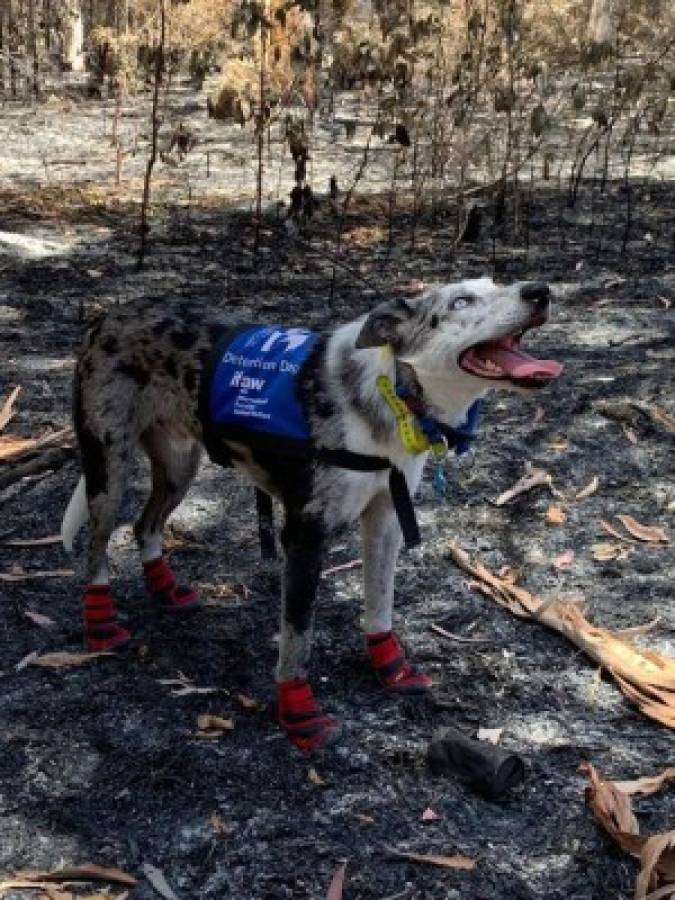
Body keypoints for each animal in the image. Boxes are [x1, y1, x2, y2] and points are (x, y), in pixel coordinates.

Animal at [63, 276, 564, 752]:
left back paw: (165, 589)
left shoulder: (386, 520)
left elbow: (379, 607)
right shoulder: (304, 537)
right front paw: (299, 715)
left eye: (497, 284)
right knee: (97, 547)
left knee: (143, 525)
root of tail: (109, 315)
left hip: (179, 466)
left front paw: (392, 669)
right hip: (109, 469)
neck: (391, 395)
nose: (540, 292)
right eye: (461, 301)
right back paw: (101, 625)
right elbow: (297, 638)